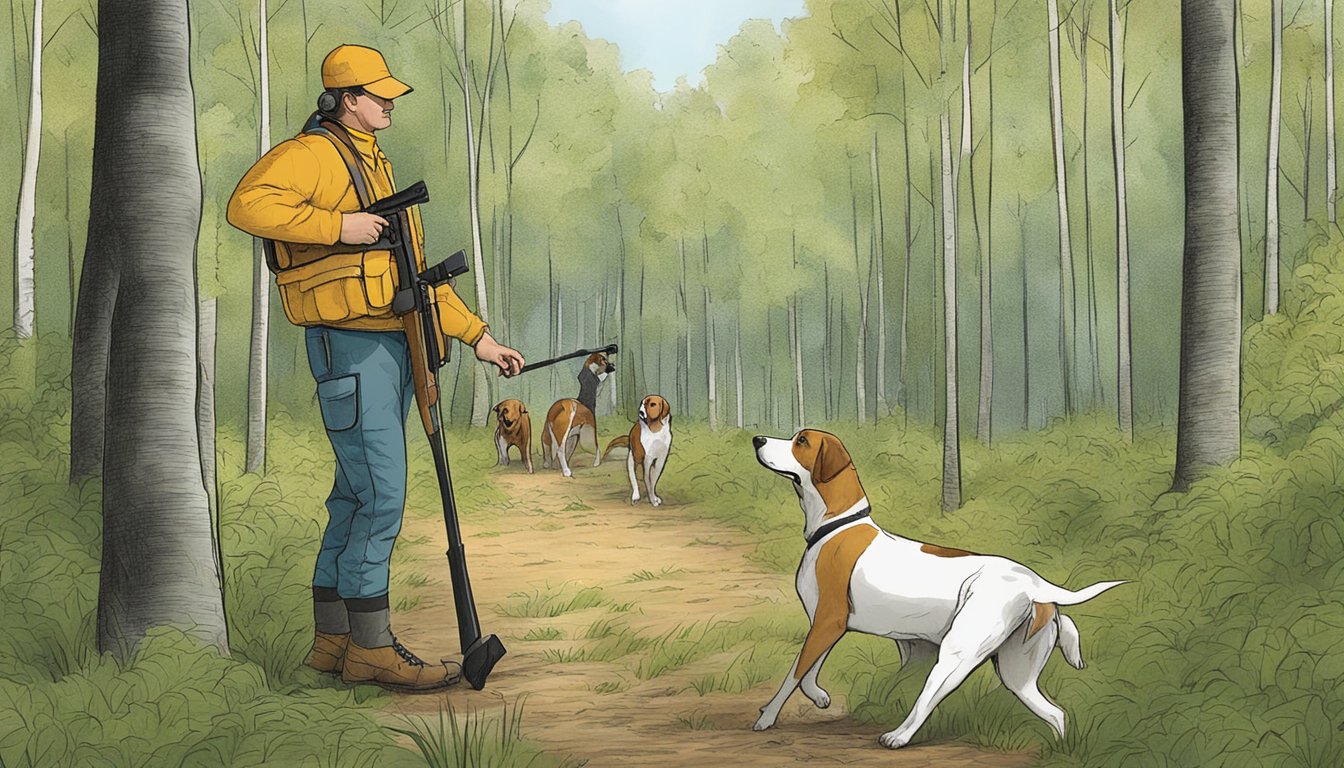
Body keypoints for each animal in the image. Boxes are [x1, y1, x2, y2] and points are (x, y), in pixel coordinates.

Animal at [752, 430, 1128, 747]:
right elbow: (809, 670)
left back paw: (898, 737)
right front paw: (818, 697)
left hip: (955, 655)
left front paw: (768, 717)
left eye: (801, 441)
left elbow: (793, 674)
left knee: (927, 699)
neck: (836, 526)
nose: (757, 438)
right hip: (1016, 674)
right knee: (1057, 714)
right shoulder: (829, 624)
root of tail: (1035, 582)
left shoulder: (828, 621)